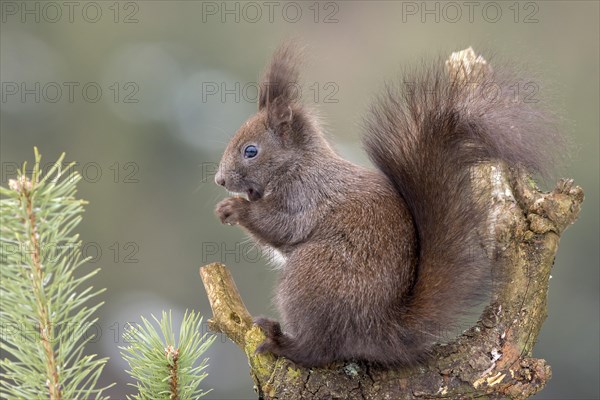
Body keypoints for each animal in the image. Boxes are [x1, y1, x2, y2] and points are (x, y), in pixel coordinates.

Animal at [213, 43, 560, 368]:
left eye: (250, 151)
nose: (219, 180)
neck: (297, 164)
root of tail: (378, 329)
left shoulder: (305, 196)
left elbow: (280, 226)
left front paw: (234, 209)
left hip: (312, 276)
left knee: (321, 349)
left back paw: (282, 343)